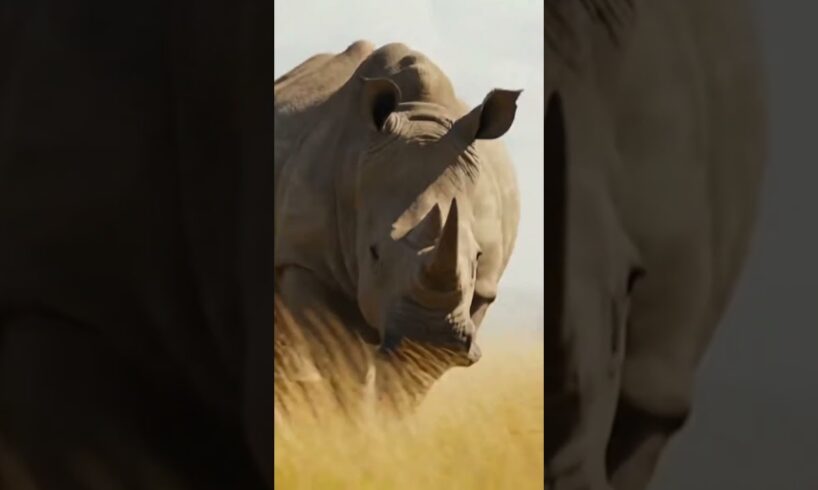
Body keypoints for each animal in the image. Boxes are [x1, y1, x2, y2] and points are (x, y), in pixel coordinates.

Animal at [274, 41, 522, 412]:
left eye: (478, 257)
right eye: (373, 253)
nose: (431, 333)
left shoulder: (482, 289)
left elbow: (407, 381)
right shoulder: (304, 259)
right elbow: (340, 361)